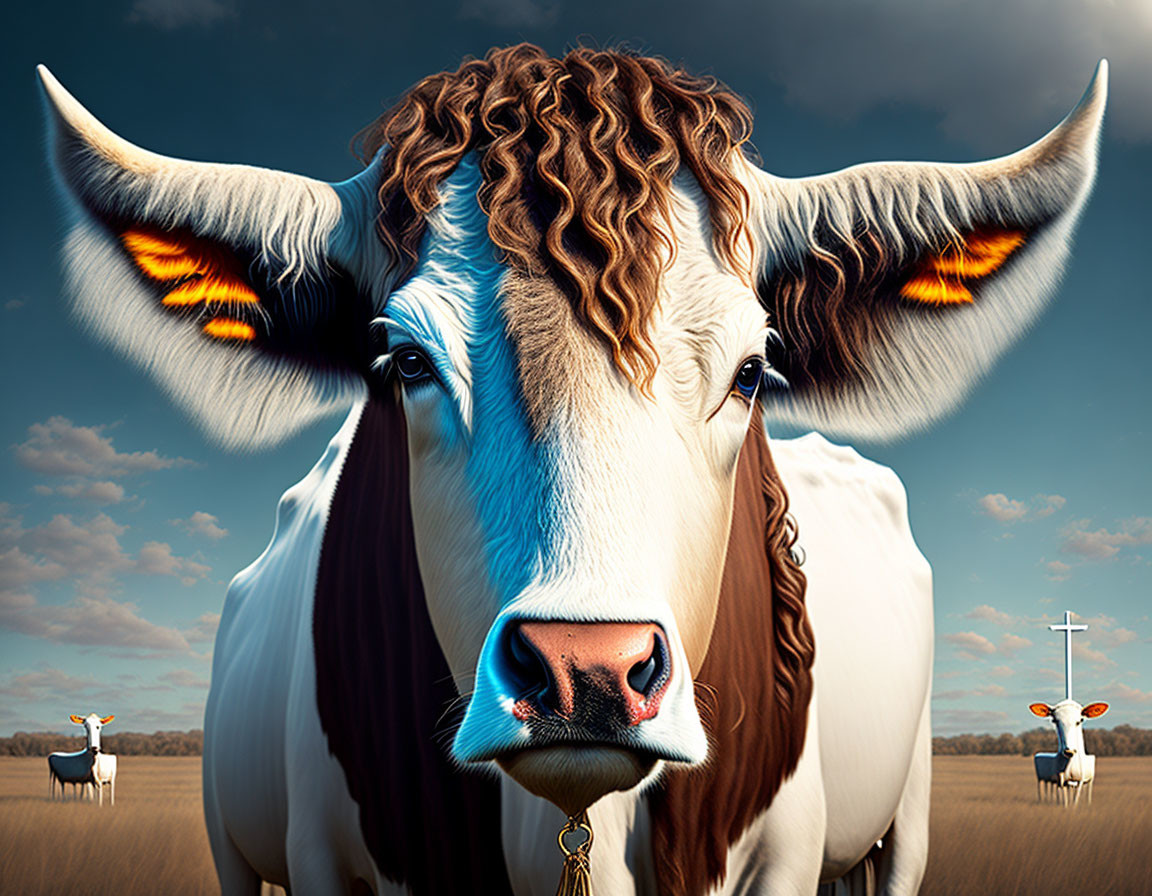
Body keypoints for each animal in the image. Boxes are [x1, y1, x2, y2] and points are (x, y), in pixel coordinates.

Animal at [38, 47, 1105, 893]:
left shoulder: (787, 854)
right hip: (232, 842)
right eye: (405, 360)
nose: (585, 673)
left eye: (751, 371)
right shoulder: (319, 859)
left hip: (903, 822)